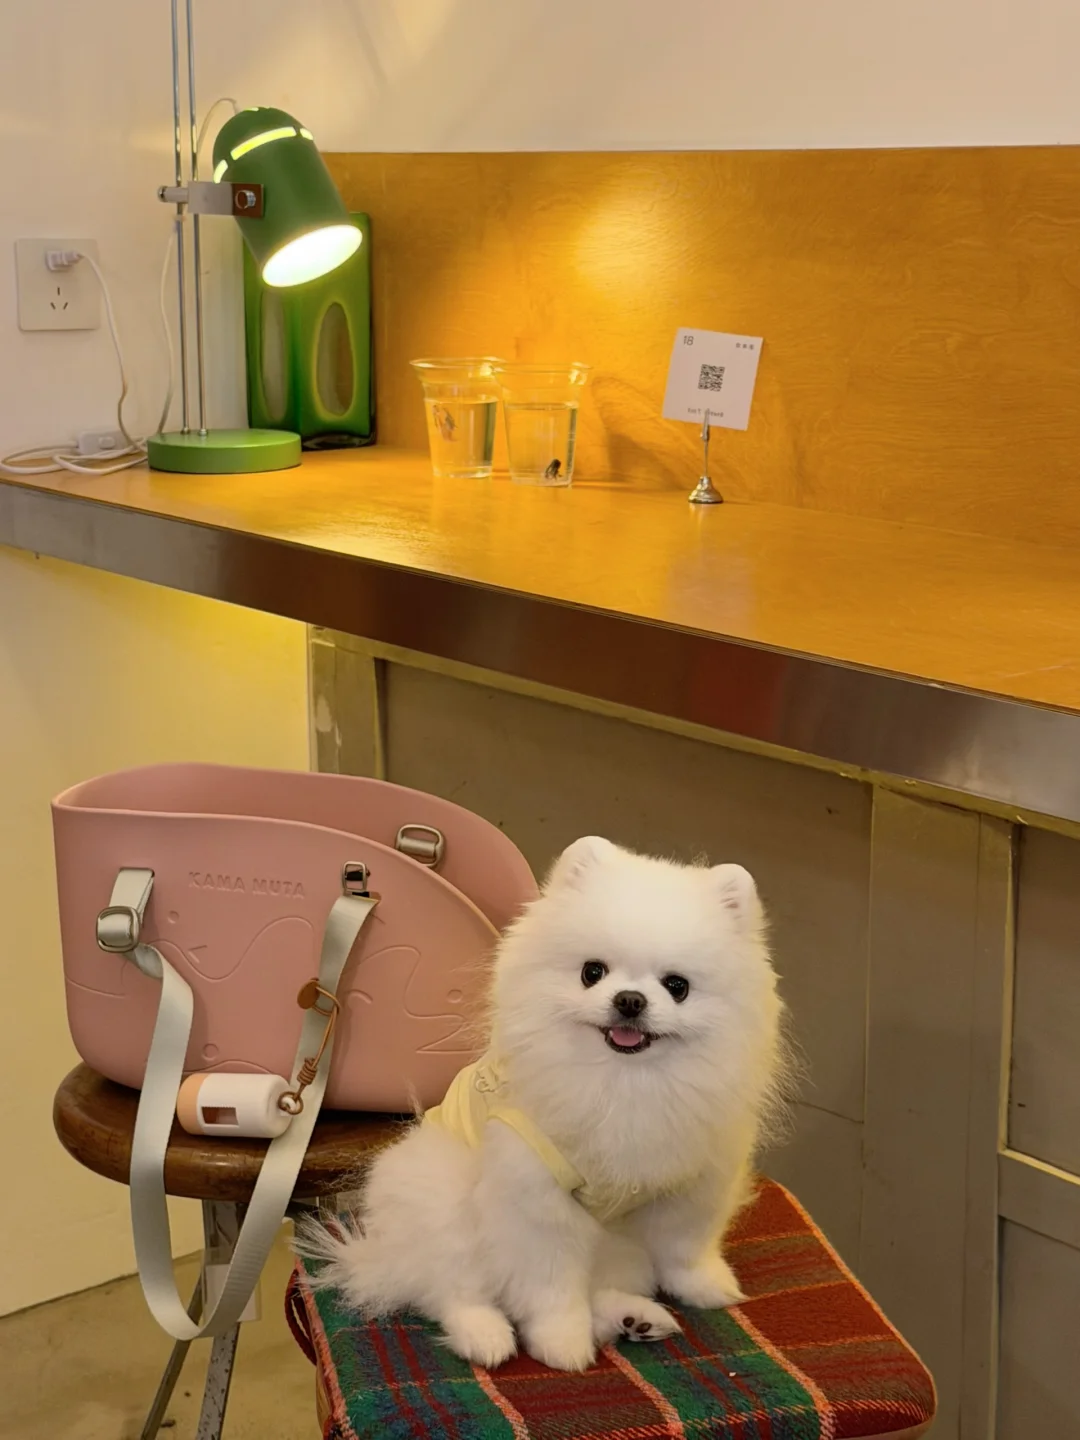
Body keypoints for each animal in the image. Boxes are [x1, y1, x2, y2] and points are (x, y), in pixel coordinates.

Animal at [298, 835, 784, 1372]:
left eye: (677, 986)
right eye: (592, 973)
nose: (630, 1000)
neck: (623, 1083)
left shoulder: (695, 1183)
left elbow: (685, 1248)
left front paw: (705, 1287)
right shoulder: (538, 1202)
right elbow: (552, 1286)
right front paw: (562, 1343)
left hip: (614, 1242)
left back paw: (633, 1317)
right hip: (445, 1200)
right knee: (448, 1287)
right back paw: (485, 1333)